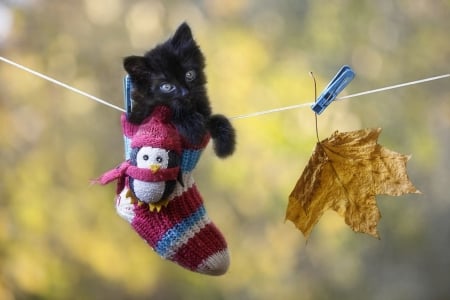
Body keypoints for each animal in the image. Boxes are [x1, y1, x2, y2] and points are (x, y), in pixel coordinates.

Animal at [123, 22, 236, 158]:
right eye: (166, 87)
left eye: (189, 75)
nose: (185, 93)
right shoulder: (139, 115)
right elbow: (167, 112)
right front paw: (190, 123)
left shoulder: (205, 112)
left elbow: (217, 118)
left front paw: (225, 144)